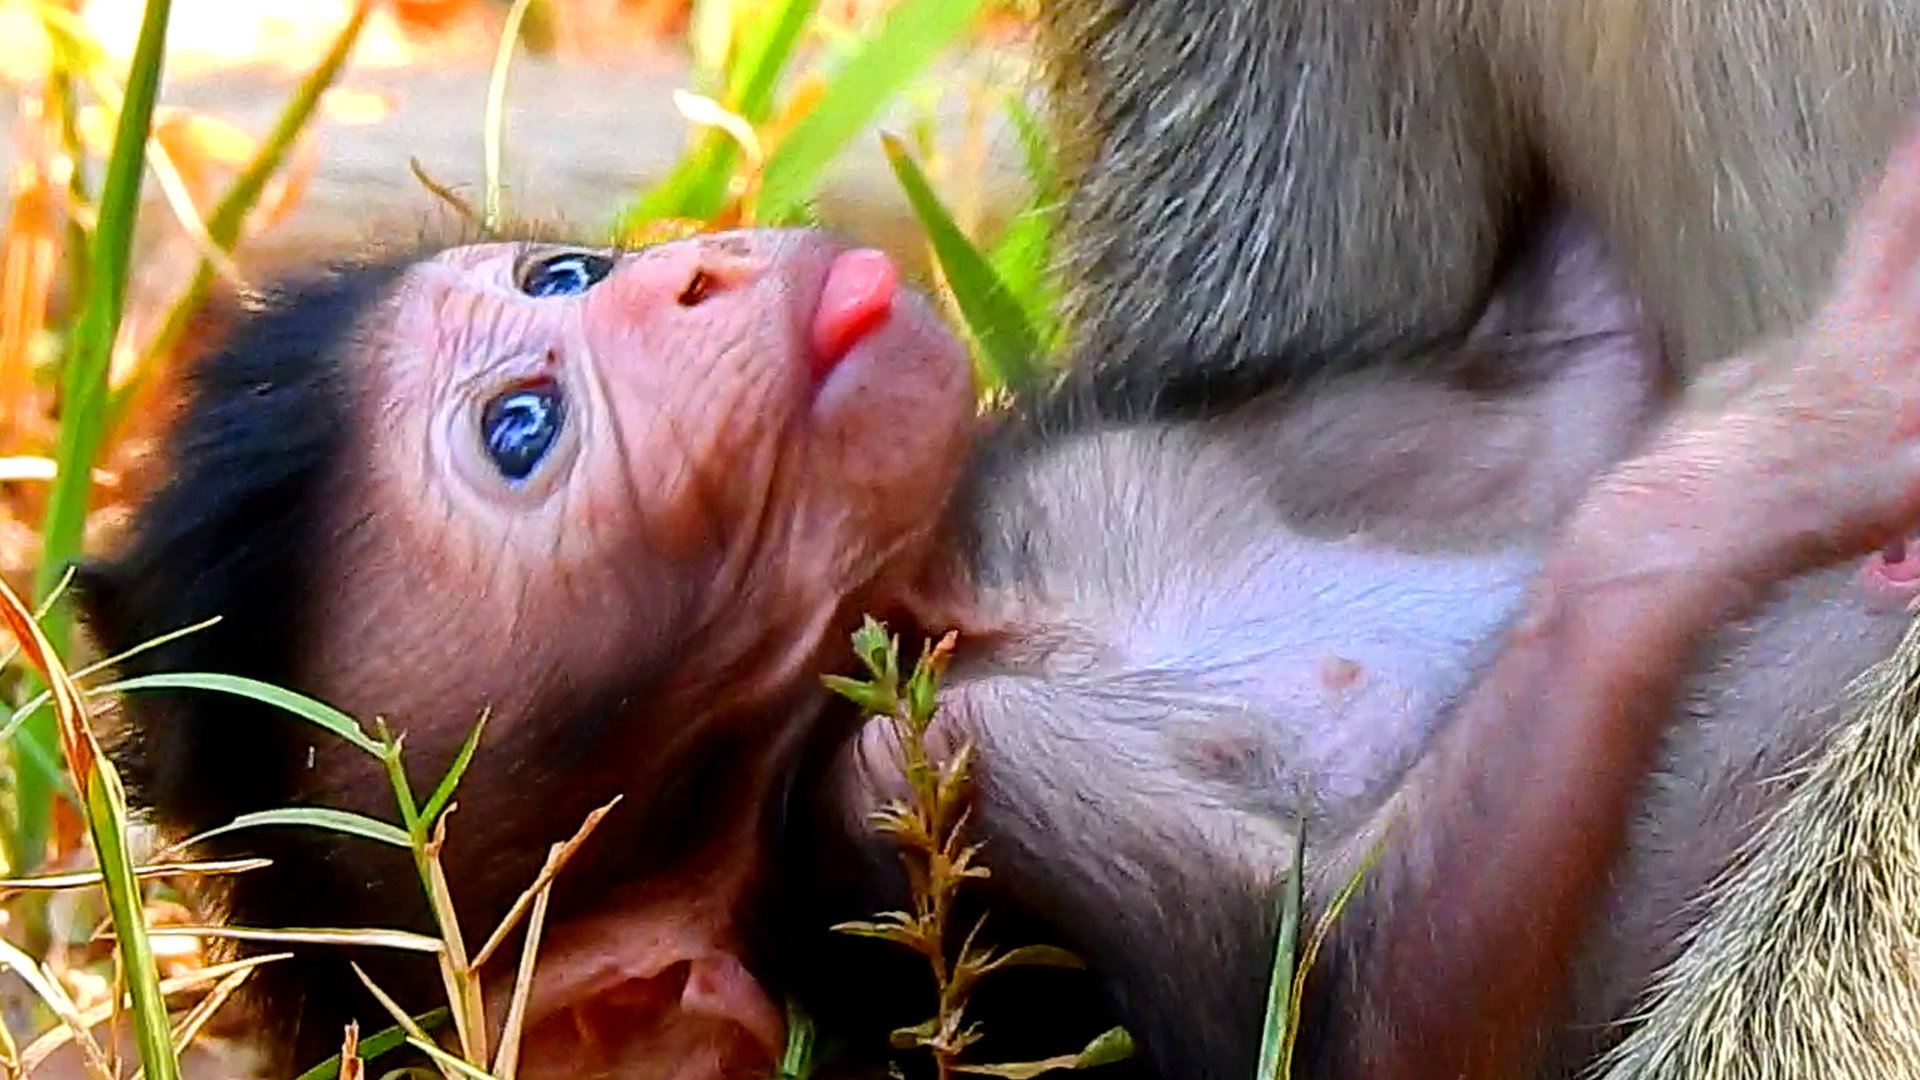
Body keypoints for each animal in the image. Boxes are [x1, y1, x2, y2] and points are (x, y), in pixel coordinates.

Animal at [70, 110, 1920, 1080]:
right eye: (523, 431)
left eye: (565, 272)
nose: (698, 272)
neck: (970, 611)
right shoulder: (914, 789)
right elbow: (1392, 1016)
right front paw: (1766, 457)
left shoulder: (1074, 479)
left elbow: (1579, 381)